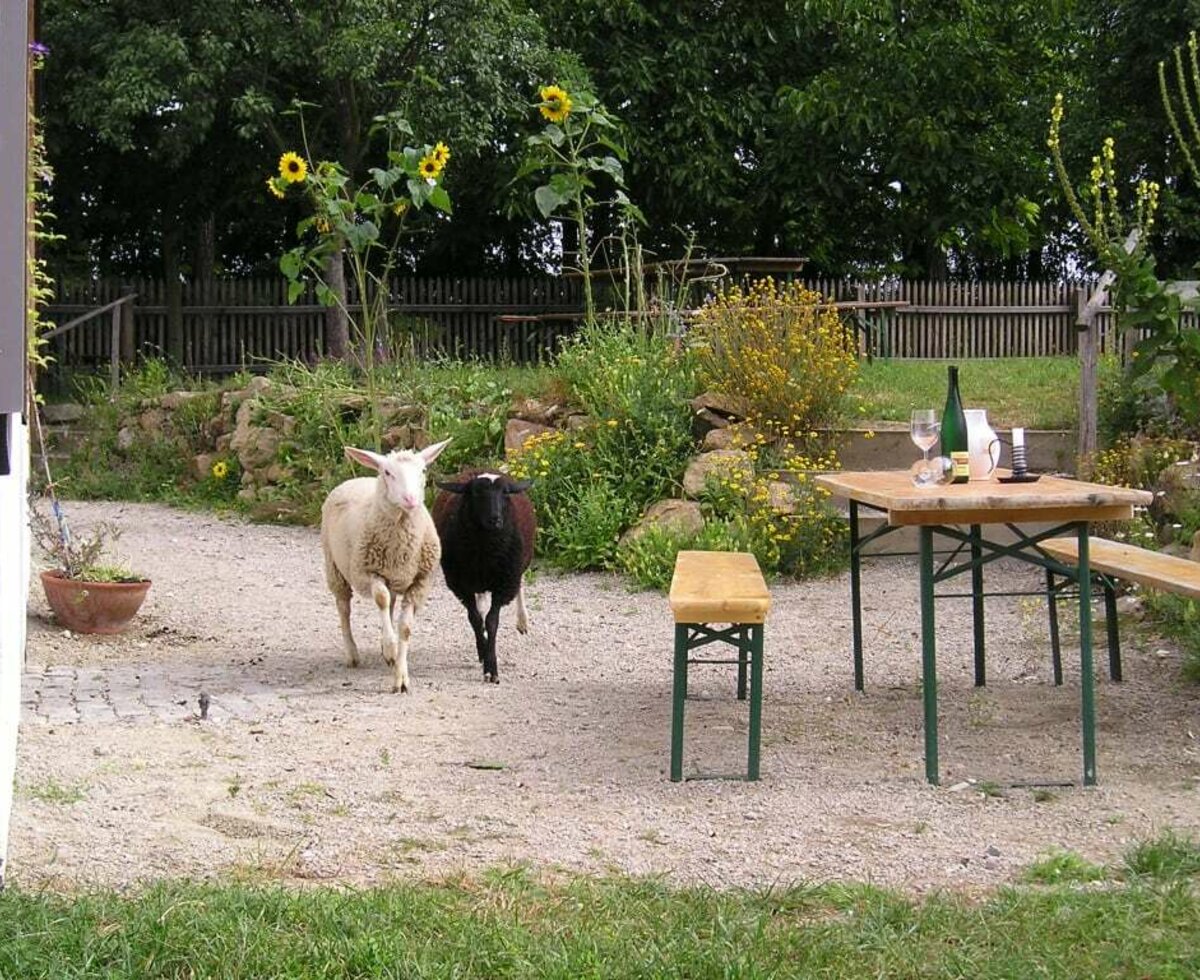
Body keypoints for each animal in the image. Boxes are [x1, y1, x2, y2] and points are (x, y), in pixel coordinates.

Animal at [319, 439, 451, 690]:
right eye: (388, 473)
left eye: (423, 470)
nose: (410, 499)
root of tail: (356, 478)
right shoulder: (368, 572)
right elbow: (380, 600)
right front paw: (390, 646)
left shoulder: (420, 582)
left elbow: (405, 628)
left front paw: (400, 676)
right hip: (335, 567)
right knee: (344, 609)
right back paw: (353, 653)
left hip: (391, 578)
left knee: (388, 606)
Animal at [432, 470, 535, 686]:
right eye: (476, 493)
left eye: (505, 493)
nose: (495, 519)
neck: (485, 551)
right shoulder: (461, 585)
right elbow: (475, 619)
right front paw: (484, 652)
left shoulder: (503, 583)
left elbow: (492, 621)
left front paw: (491, 669)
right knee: (479, 607)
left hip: (515, 570)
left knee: (520, 586)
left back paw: (522, 621)